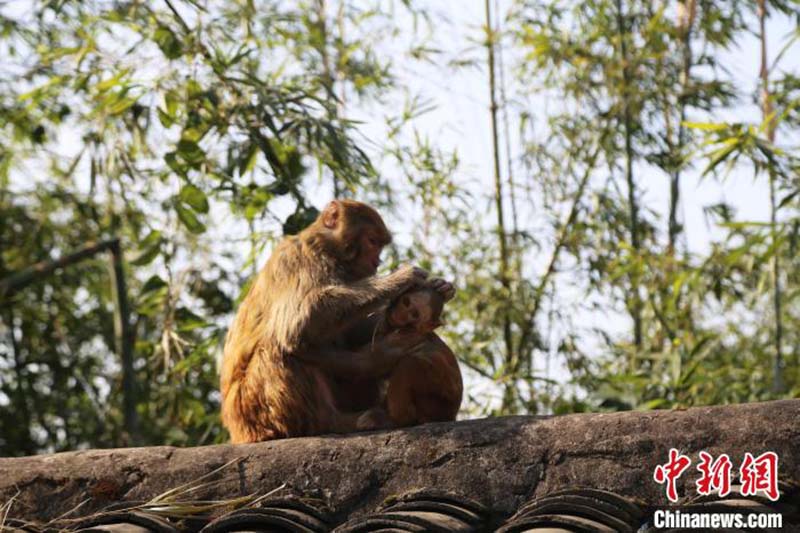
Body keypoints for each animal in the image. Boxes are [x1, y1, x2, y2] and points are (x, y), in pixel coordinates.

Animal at [220, 198, 444, 440]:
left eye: (380, 245)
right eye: (372, 241)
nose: (377, 260)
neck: (326, 249)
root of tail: (238, 432)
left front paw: (441, 288)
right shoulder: (302, 258)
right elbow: (297, 324)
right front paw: (398, 279)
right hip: (254, 411)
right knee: (277, 345)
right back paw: (332, 422)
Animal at [382, 284, 462, 426]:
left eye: (415, 314)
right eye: (406, 302)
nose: (401, 315)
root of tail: (451, 415)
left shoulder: (405, 336)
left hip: (437, 403)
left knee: (412, 362)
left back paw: (399, 419)